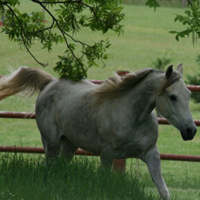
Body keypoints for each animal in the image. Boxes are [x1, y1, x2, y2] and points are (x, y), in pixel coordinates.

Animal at [0, 63, 197, 198]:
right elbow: (106, 183)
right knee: (49, 168)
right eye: (172, 96)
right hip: (51, 144)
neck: (132, 116)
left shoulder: (151, 153)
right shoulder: (107, 154)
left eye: (188, 94)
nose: (191, 130)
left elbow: (163, 190)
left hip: (70, 145)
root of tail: (50, 83)